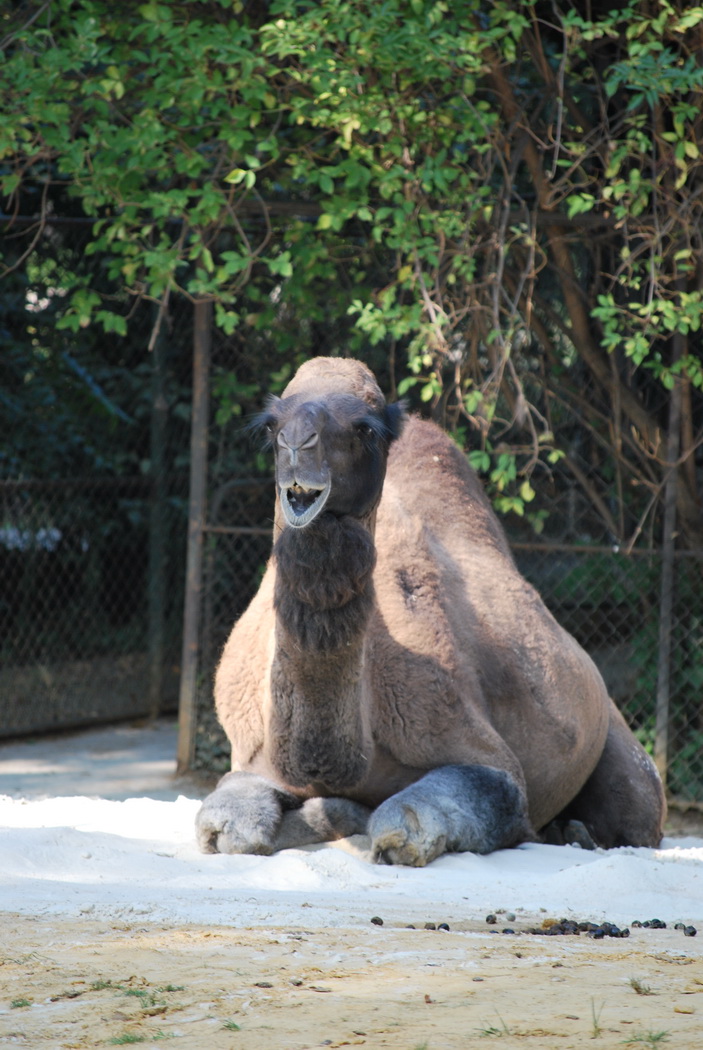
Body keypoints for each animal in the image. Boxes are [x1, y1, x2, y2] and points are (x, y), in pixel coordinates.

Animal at [197, 356, 667, 865]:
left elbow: (403, 824)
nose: (297, 445)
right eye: (272, 426)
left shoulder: (481, 752)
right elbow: (227, 827)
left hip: (624, 755)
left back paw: (577, 832)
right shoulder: (252, 755)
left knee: (635, 812)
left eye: (366, 429)